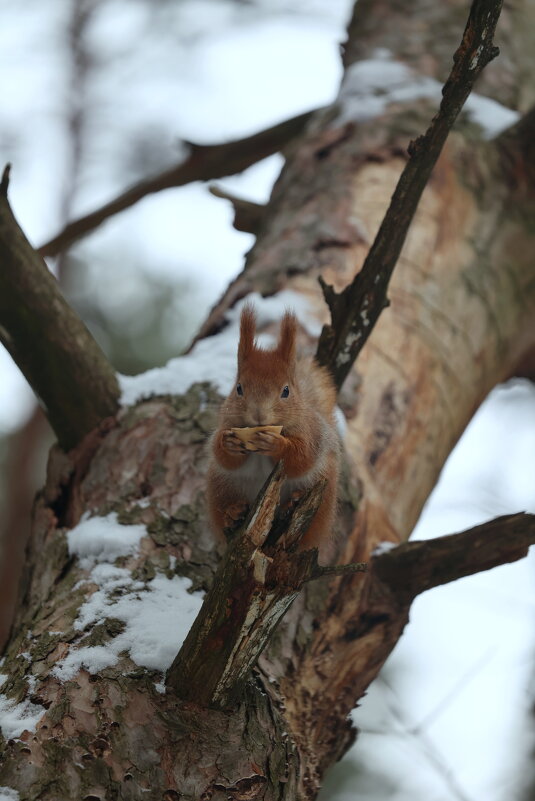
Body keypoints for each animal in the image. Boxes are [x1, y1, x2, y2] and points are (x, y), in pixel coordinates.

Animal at [207, 304, 342, 560]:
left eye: (286, 391)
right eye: (238, 388)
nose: (259, 415)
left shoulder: (311, 433)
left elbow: (302, 458)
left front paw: (276, 444)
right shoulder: (225, 425)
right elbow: (222, 457)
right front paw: (228, 444)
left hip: (324, 492)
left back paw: (293, 502)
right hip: (221, 485)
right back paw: (233, 512)